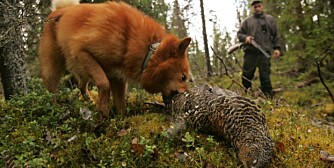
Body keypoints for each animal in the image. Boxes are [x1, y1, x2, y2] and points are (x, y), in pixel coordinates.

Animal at [38, 0, 190, 117]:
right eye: (183, 77)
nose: (188, 94)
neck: (148, 49)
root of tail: (61, 10)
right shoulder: (82, 52)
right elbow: (104, 84)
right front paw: (104, 111)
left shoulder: (117, 76)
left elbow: (120, 103)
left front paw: (121, 122)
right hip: (54, 66)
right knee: (52, 91)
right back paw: (55, 109)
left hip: (79, 68)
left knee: (81, 85)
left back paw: (90, 102)